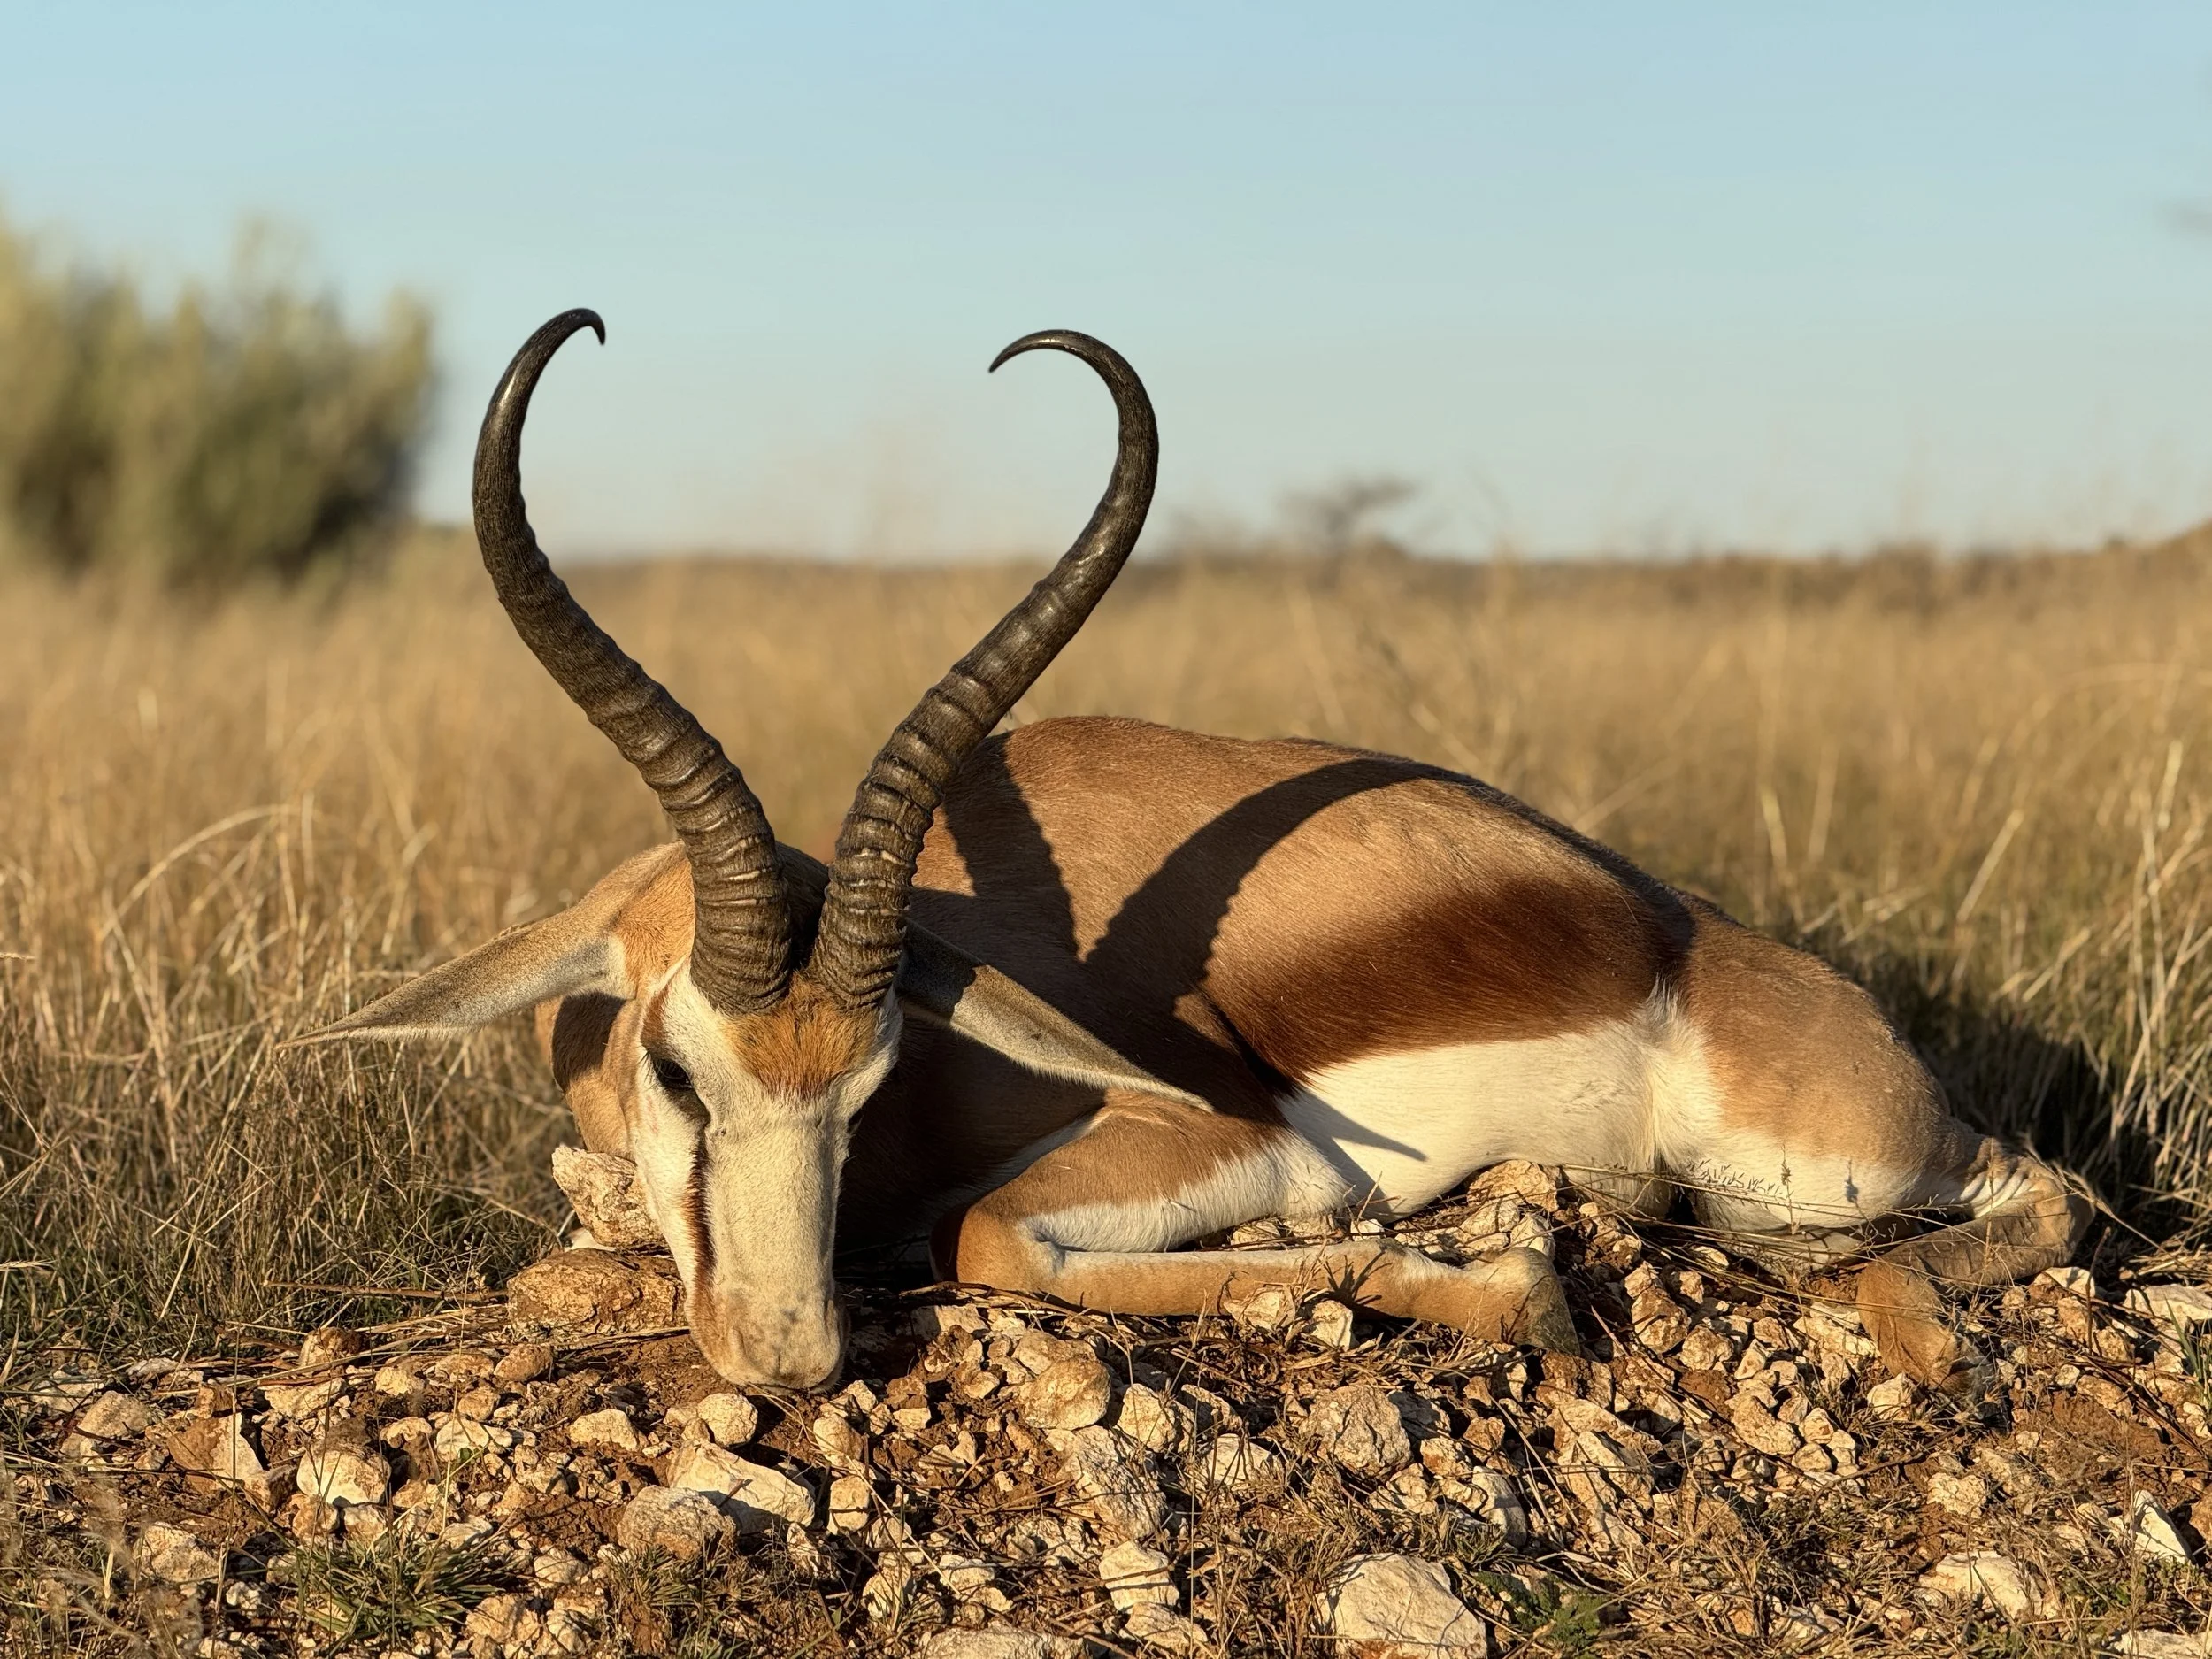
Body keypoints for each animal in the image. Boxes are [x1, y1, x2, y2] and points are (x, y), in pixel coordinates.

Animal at [306, 309, 2086, 1389]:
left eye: (873, 1078)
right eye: (680, 1069)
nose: (791, 1356)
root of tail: (1699, 939)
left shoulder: (1237, 1143)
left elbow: (985, 1235)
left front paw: (1496, 1284)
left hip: (1826, 1166)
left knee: (2035, 1186)